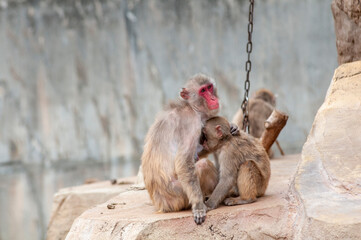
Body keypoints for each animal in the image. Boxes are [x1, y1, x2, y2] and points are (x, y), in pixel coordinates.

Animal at [141, 73, 219, 225]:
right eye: (202, 91)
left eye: (209, 87)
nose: (213, 98)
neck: (192, 107)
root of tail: (161, 205)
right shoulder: (192, 124)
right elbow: (184, 162)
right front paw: (198, 206)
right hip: (177, 195)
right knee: (203, 165)